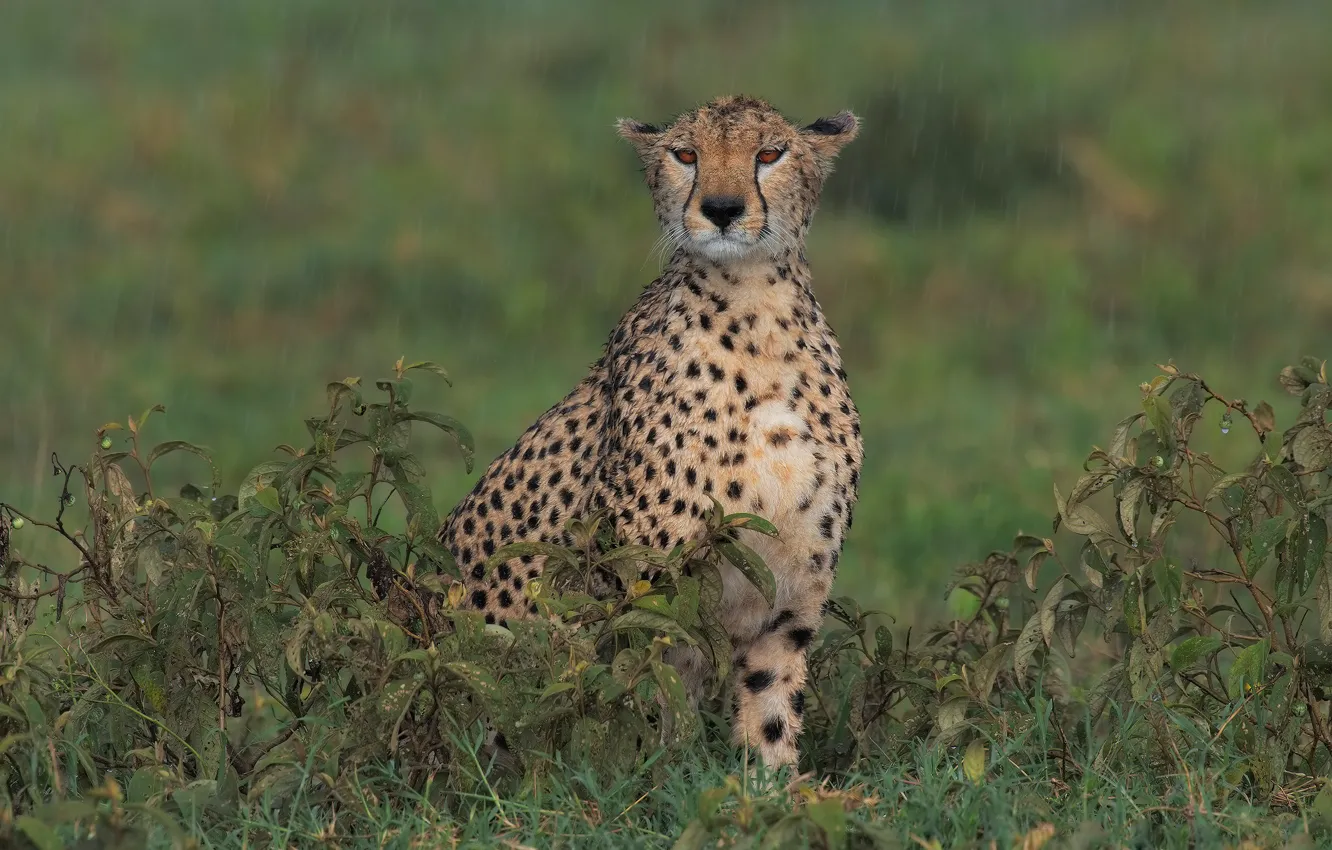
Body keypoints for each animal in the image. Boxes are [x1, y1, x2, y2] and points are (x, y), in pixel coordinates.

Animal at [438, 94, 863, 768]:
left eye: (770, 153)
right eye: (685, 154)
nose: (722, 209)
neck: (757, 319)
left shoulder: (790, 605)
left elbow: (769, 720)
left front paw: (774, 787)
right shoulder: (642, 597)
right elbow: (644, 714)